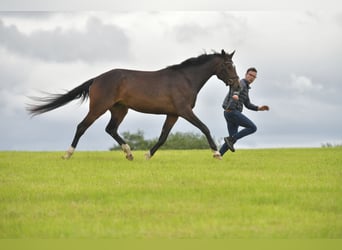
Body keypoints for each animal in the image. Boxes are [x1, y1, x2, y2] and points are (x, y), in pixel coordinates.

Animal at [26, 48, 240, 160]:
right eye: (227, 66)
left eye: (234, 65)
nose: (237, 84)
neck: (186, 79)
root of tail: (97, 79)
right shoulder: (184, 111)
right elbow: (204, 128)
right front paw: (216, 153)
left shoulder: (173, 114)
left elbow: (163, 137)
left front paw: (147, 155)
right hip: (99, 108)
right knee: (82, 126)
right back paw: (67, 154)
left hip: (120, 110)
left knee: (110, 129)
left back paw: (129, 153)